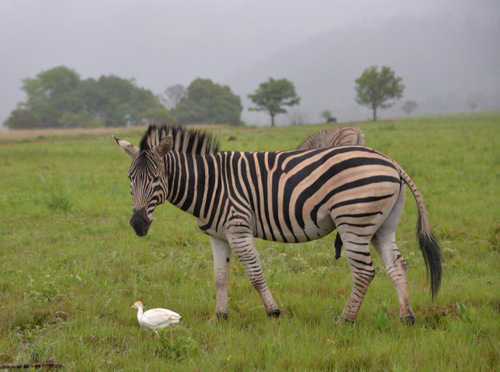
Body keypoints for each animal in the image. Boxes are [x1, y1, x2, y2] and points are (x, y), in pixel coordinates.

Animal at [114, 123, 442, 324]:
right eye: (129, 178)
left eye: (155, 179)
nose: (138, 224)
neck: (210, 183)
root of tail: (389, 160)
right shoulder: (218, 235)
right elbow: (219, 276)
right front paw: (219, 317)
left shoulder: (238, 228)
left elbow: (256, 274)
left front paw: (273, 312)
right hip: (381, 225)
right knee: (397, 265)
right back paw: (407, 317)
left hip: (353, 222)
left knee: (364, 272)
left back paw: (344, 320)